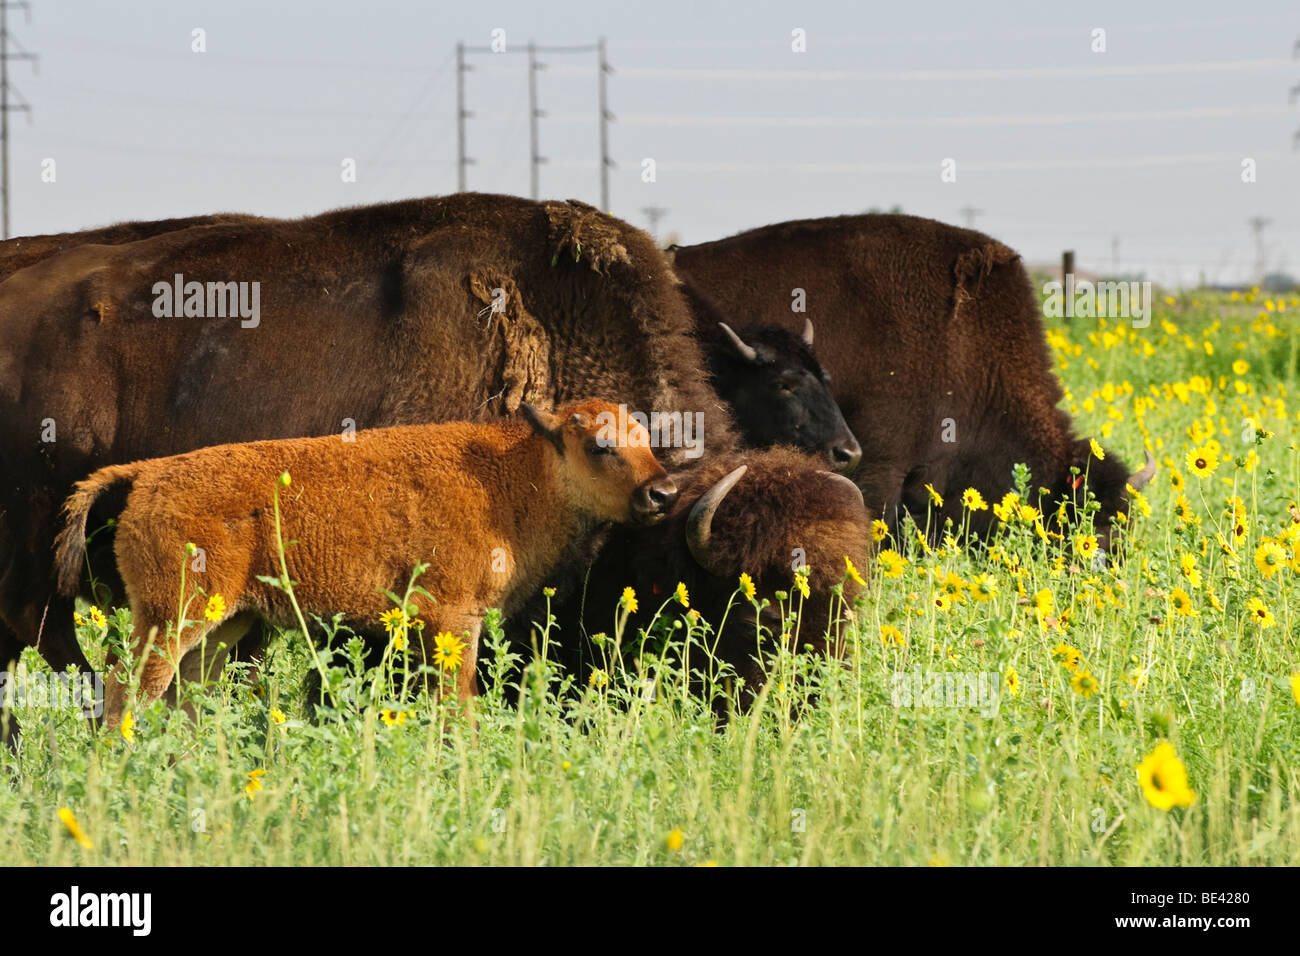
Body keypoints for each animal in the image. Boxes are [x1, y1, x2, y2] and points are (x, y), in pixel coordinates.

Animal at [54, 395, 676, 723]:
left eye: (646, 439)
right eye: (599, 445)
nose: (662, 494)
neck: (514, 472)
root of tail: (148, 476)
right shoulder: (452, 619)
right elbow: (457, 702)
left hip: (224, 622)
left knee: (184, 692)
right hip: (171, 615)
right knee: (126, 687)